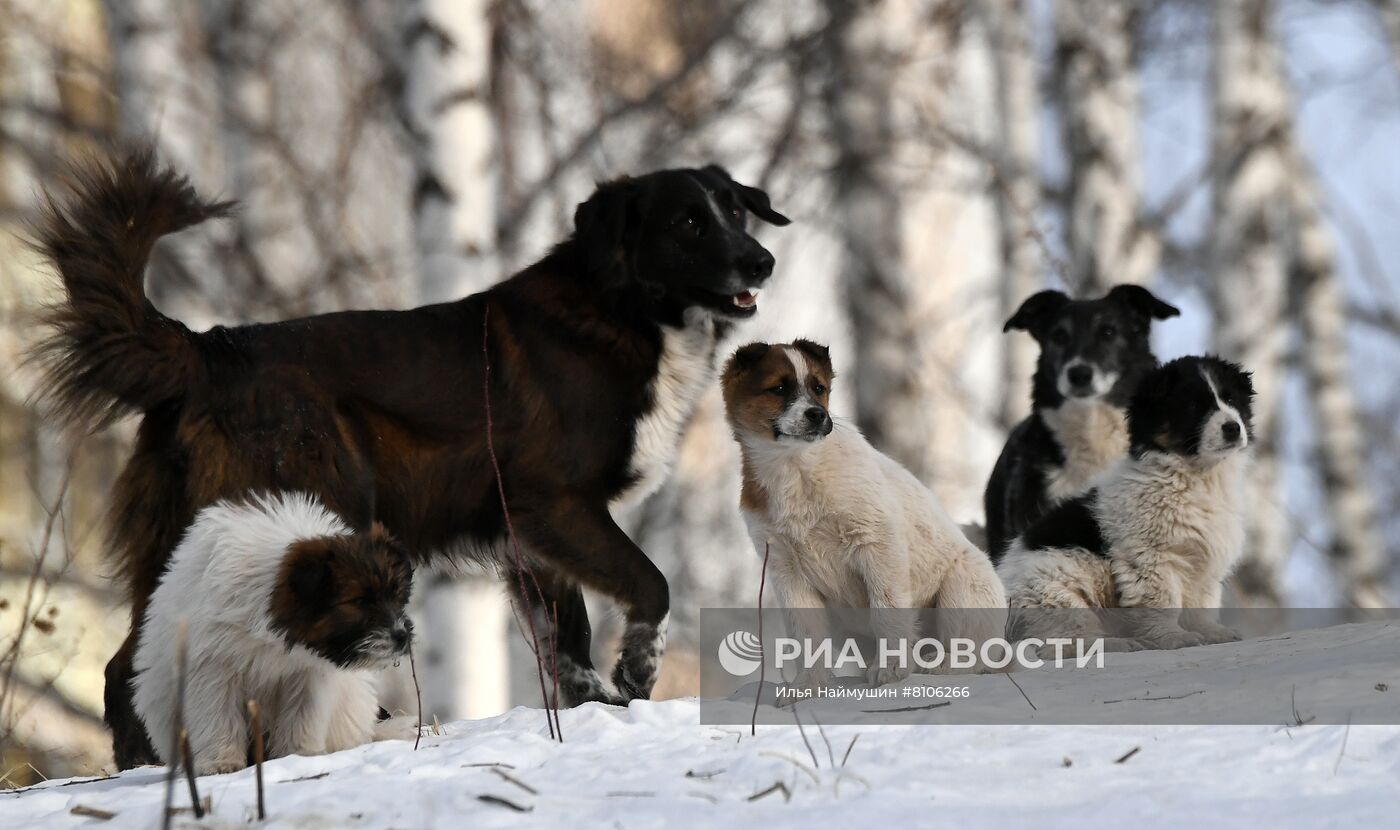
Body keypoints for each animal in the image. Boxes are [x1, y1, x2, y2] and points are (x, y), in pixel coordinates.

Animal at [35, 146, 789, 761]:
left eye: (733, 210)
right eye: (686, 223)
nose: (763, 261)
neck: (623, 307)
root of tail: (206, 352)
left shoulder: (532, 540)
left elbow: (563, 642)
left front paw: (593, 709)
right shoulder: (556, 504)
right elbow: (651, 584)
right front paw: (636, 670)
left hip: (181, 544)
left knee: (128, 663)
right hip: (306, 509)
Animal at [996, 352, 1260, 649]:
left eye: (1231, 401)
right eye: (1193, 407)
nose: (1232, 428)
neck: (1196, 476)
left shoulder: (1204, 561)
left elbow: (1202, 601)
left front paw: (1211, 632)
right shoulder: (1150, 556)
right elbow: (1162, 602)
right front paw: (1174, 637)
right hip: (1056, 587)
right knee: (1065, 638)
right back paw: (1119, 644)